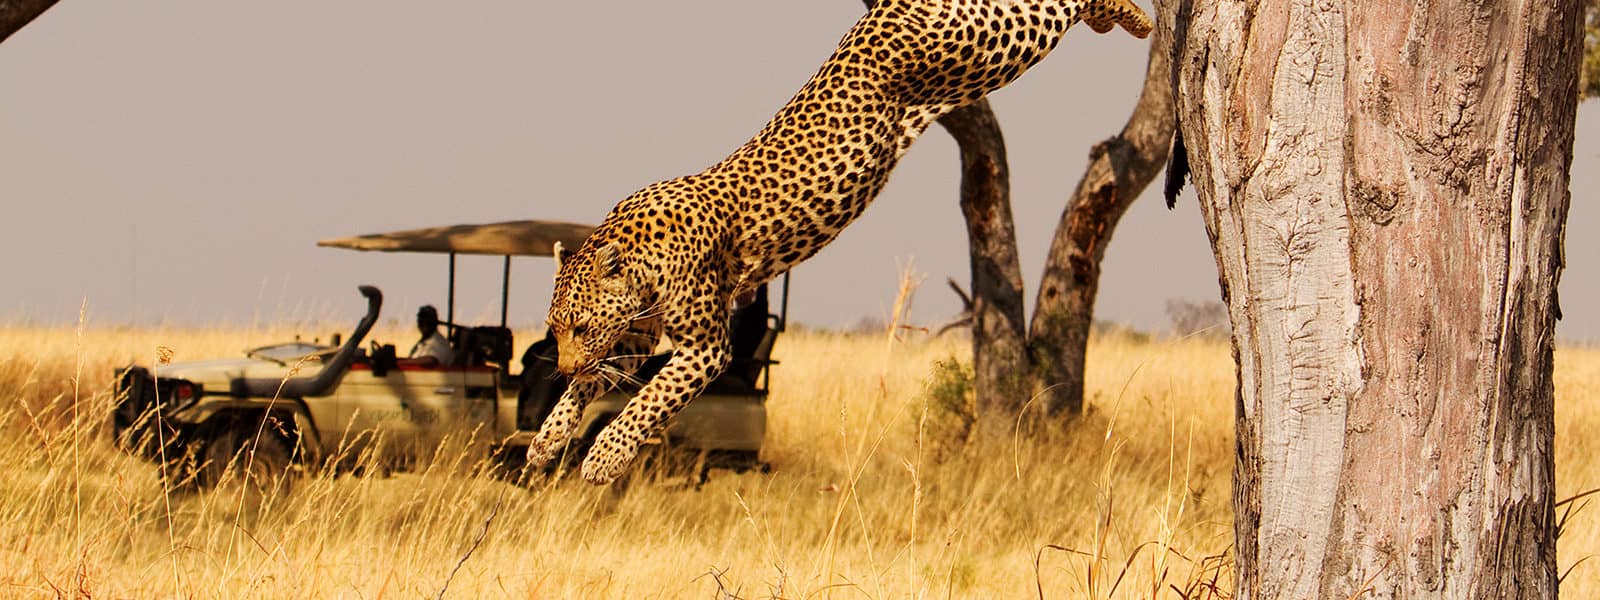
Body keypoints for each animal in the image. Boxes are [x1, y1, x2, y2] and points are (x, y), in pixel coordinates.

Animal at [529, 0, 1152, 484]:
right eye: (556, 330)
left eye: (578, 326)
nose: (557, 364)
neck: (638, 261)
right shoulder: (638, 335)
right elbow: (594, 385)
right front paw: (548, 436)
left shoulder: (706, 347)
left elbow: (646, 401)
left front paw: (604, 458)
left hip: (993, 41)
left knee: (1056, 5)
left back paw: (1138, 19)